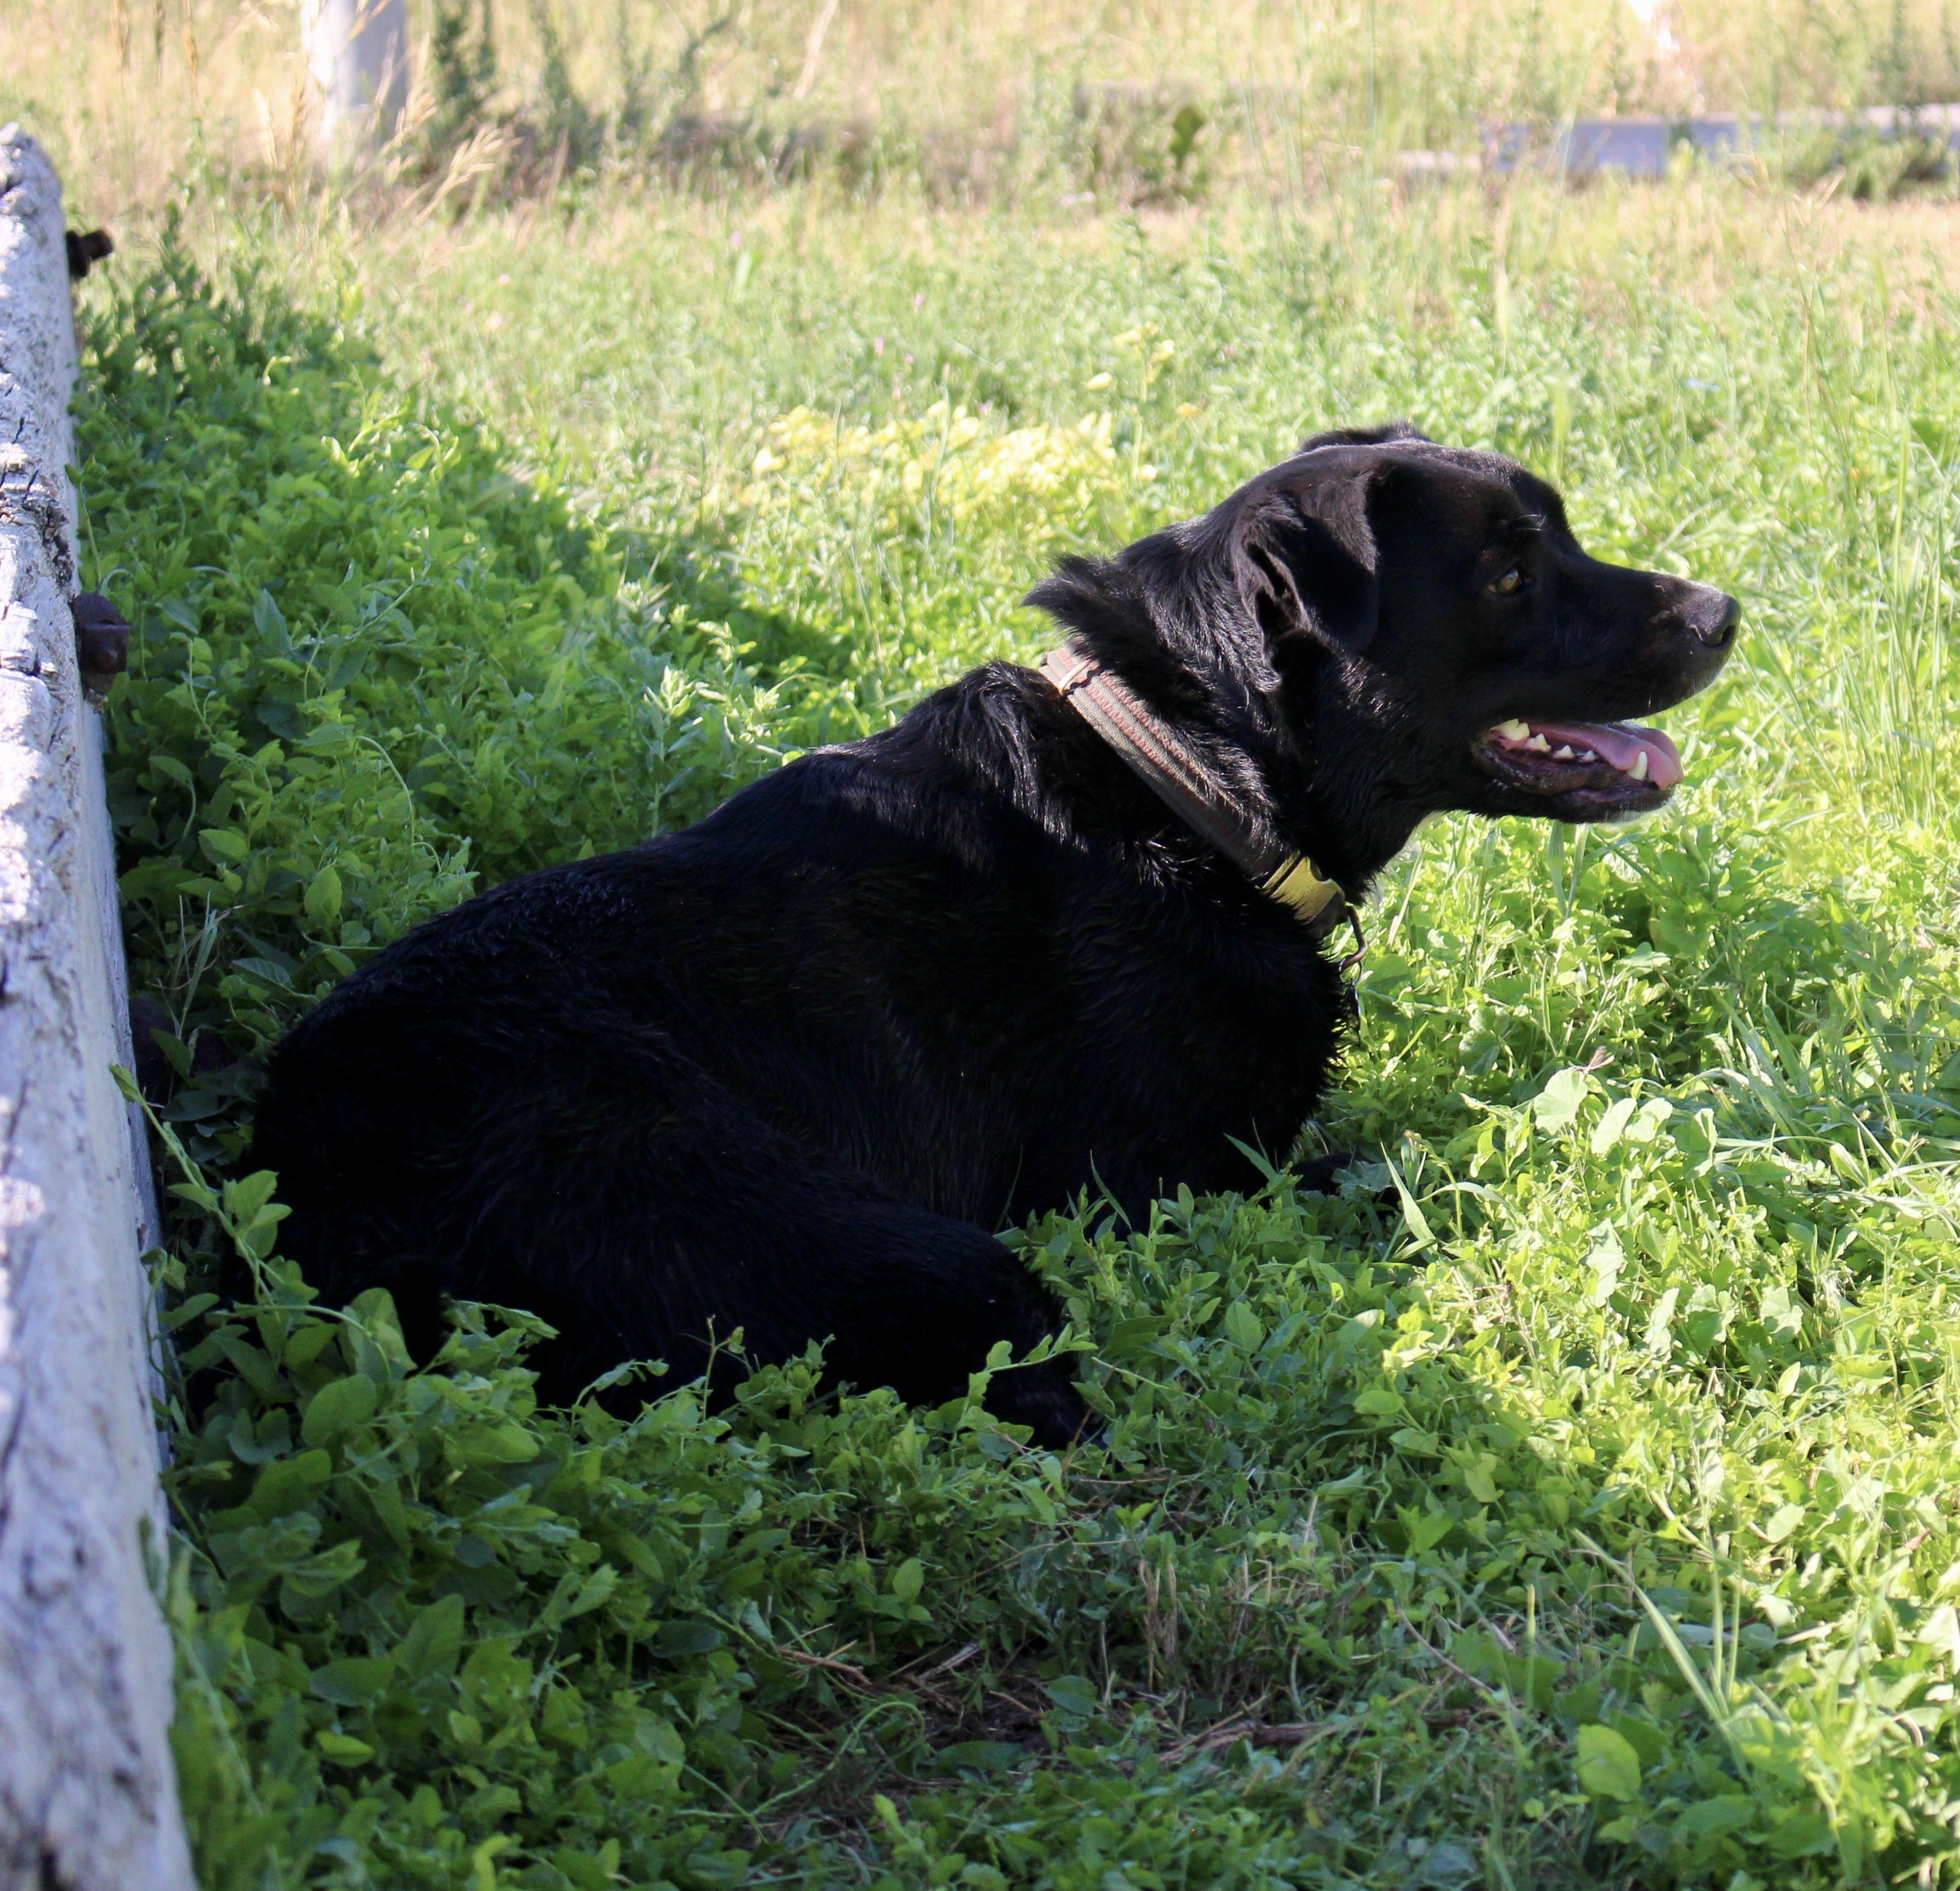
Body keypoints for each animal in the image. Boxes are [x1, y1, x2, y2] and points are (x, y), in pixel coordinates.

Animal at [245, 421, 1732, 1442]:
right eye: (1506, 574)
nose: (1725, 611)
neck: (1184, 780)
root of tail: (325, 1215)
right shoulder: (1180, 1179)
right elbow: (1418, 1158)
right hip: (926, 1251)